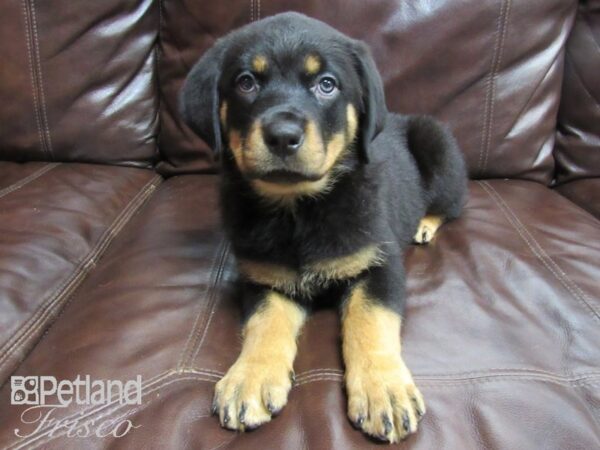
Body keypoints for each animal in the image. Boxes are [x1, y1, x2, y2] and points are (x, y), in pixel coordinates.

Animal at [180, 11, 466, 442]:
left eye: (326, 84)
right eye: (246, 82)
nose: (282, 136)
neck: (298, 210)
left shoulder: (380, 263)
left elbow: (370, 319)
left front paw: (384, 390)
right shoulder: (263, 277)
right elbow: (263, 323)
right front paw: (250, 379)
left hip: (439, 151)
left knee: (452, 204)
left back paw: (424, 224)